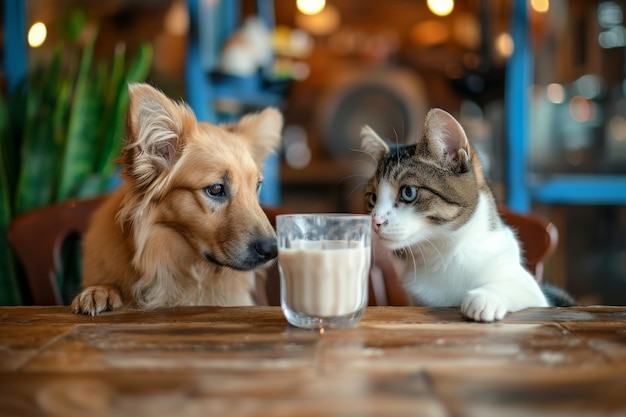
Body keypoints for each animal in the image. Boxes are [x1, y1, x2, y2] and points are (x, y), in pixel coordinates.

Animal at [358, 108, 548, 322]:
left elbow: (521, 288)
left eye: (408, 192)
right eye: (373, 198)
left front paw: (485, 298)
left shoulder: (532, 290)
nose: (376, 220)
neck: (443, 255)